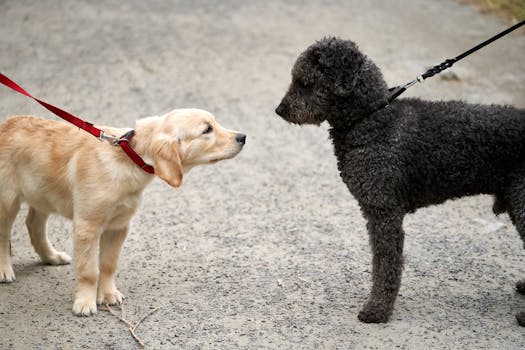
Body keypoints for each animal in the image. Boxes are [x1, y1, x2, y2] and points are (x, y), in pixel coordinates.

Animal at [0, 108, 245, 314]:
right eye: (207, 130)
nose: (242, 137)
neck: (129, 157)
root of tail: (6, 124)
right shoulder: (87, 226)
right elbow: (89, 271)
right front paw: (85, 303)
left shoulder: (118, 226)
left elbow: (108, 264)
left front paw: (108, 294)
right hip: (7, 200)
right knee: (4, 236)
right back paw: (4, 270)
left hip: (42, 192)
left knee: (34, 224)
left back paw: (51, 256)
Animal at [274, 37, 524, 324]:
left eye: (305, 82)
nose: (279, 110)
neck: (371, 118)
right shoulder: (377, 214)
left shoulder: (385, 213)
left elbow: (386, 265)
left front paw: (377, 310)